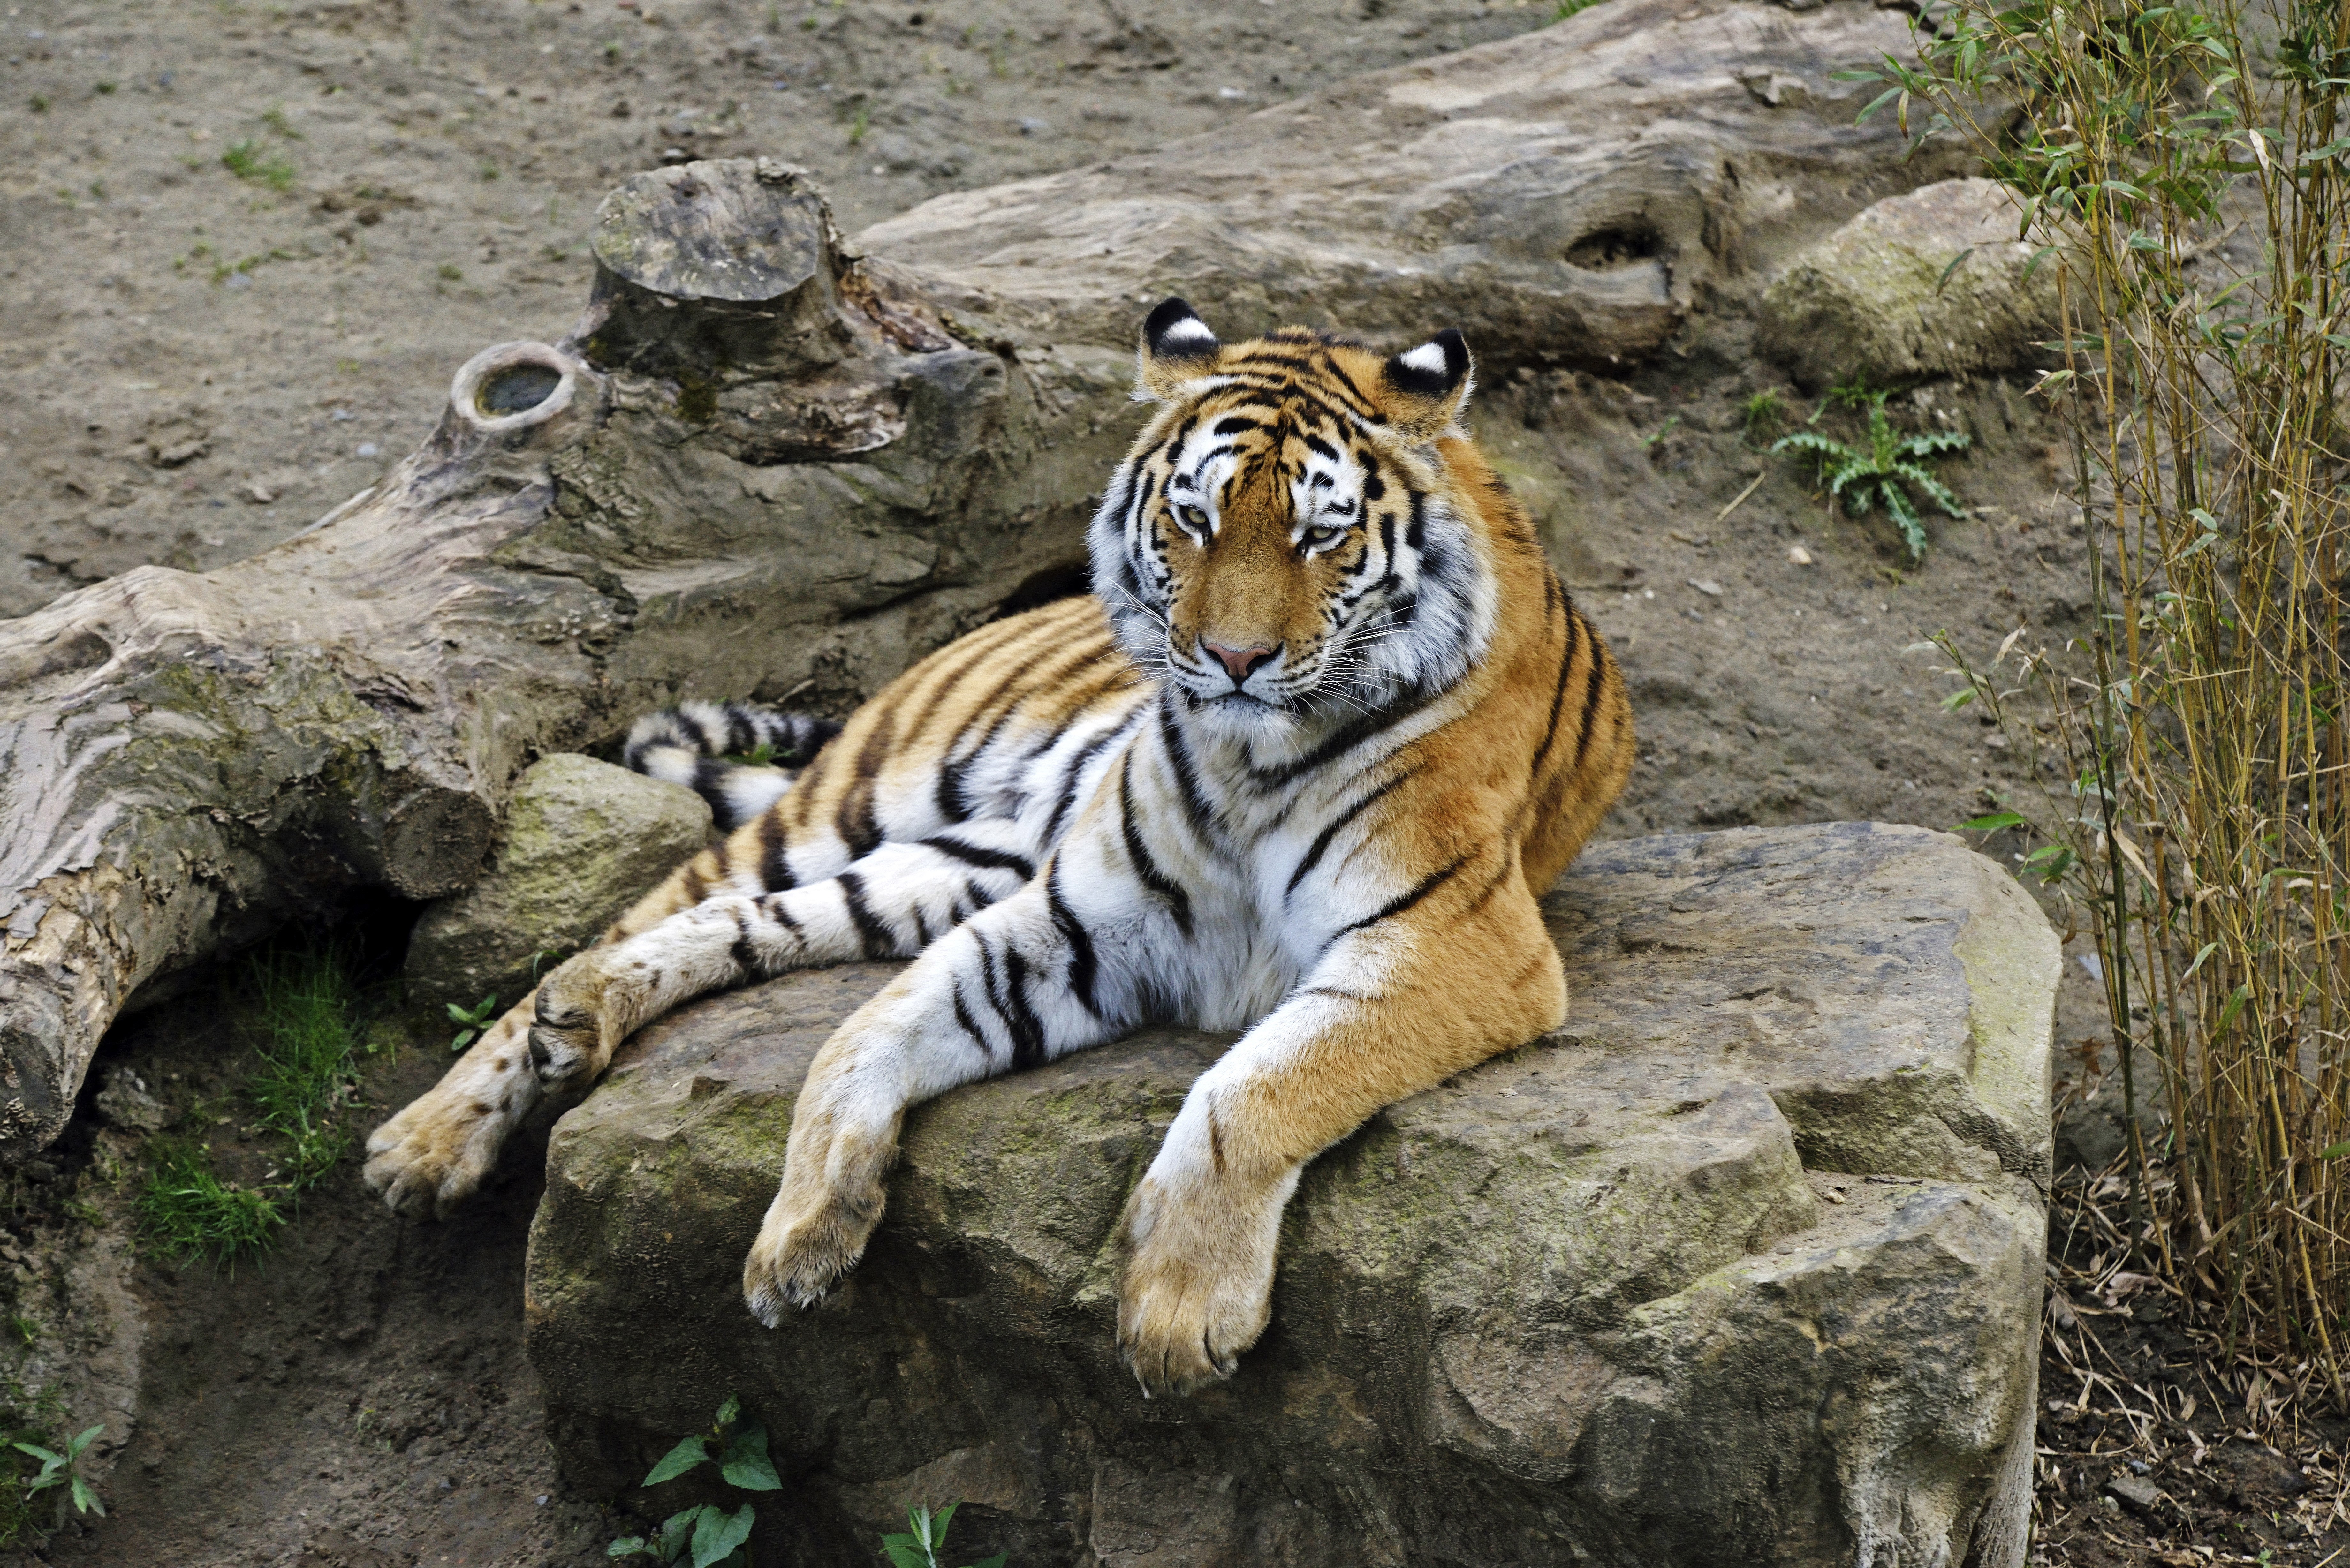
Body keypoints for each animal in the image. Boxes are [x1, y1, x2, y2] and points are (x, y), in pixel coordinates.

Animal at [362, 299, 1635, 1394]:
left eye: (1322, 534)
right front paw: (802, 1231)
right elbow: (867, 1033)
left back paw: (579, 1018)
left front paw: (1176, 1312)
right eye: (1195, 516)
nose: (1232, 660)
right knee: (638, 921)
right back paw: (433, 1131)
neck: (1247, 756)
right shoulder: (1086, 916)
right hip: (849, 810)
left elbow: (1256, 1085)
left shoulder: (1449, 944)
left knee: (739, 925)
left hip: (942, 863)